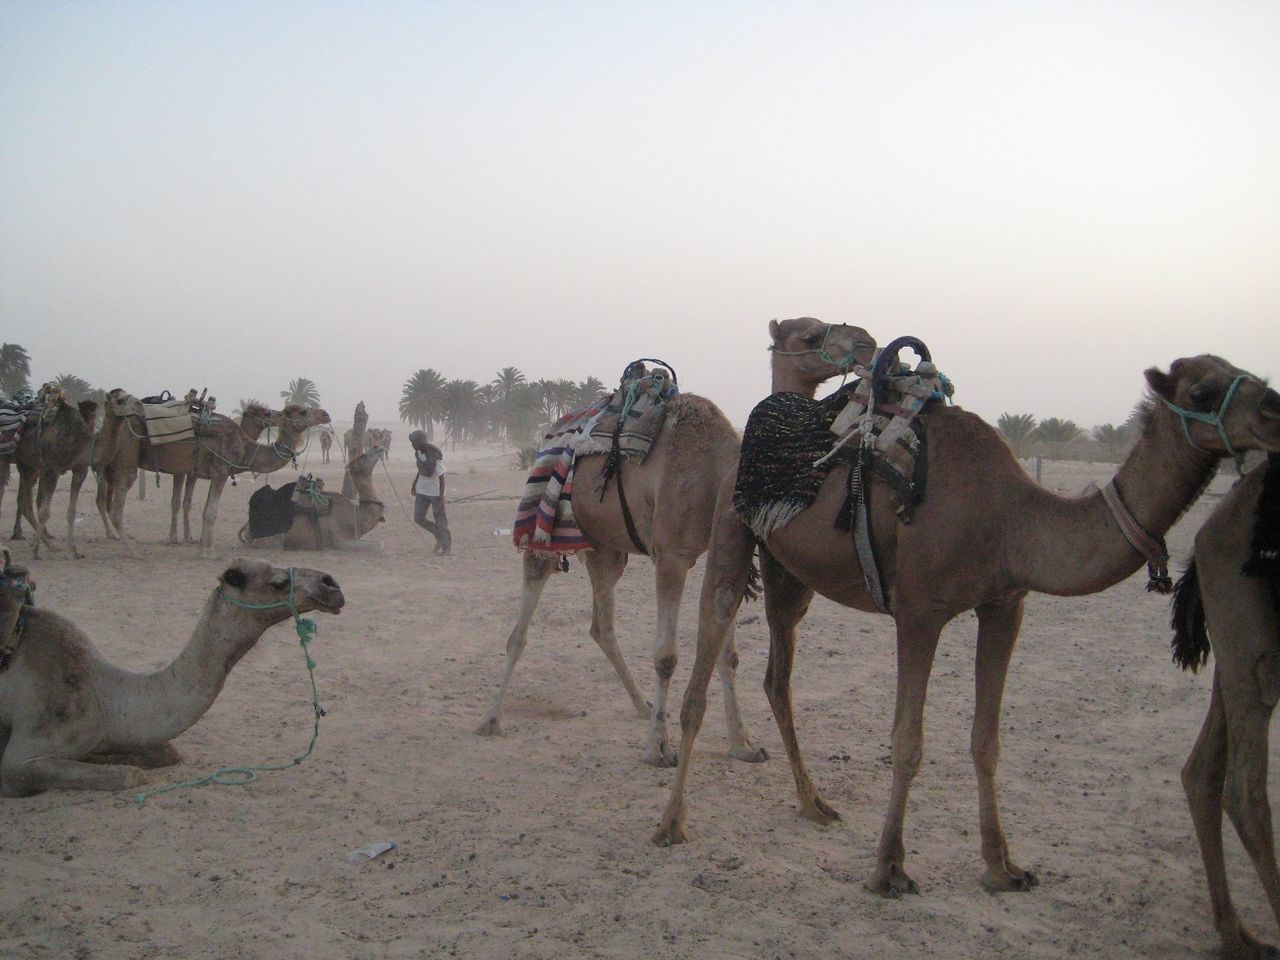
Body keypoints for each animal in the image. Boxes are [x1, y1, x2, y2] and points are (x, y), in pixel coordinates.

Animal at [0, 555, 345, 798]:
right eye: (278, 582)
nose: (332, 584)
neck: (104, 695)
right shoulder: (22, 755)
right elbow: (129, 774)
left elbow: (167, 752)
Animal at [98, 389, 330, 560]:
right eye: (302, 412)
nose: (325, 414)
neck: (245, 448)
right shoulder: (220, 472)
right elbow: (211, 512)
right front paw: (206, 552)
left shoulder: (213, 474)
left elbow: (205, 511)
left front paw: (203, 547)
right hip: (128, 460)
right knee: (116, 509)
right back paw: (133, 551)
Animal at [655, 320, 1280, 901]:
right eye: (1202, 390)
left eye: (1247, 372)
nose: (1274, 409)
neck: (1011, 516)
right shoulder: (919, 611)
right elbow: (907, 741)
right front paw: (889, 869)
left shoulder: (1005, 605)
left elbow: (987, 740)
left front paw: (1002, 867)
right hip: (731, 528)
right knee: (704, 668)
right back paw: (671, 823)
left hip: (790, 574)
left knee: (778, 677)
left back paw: (813, 803)